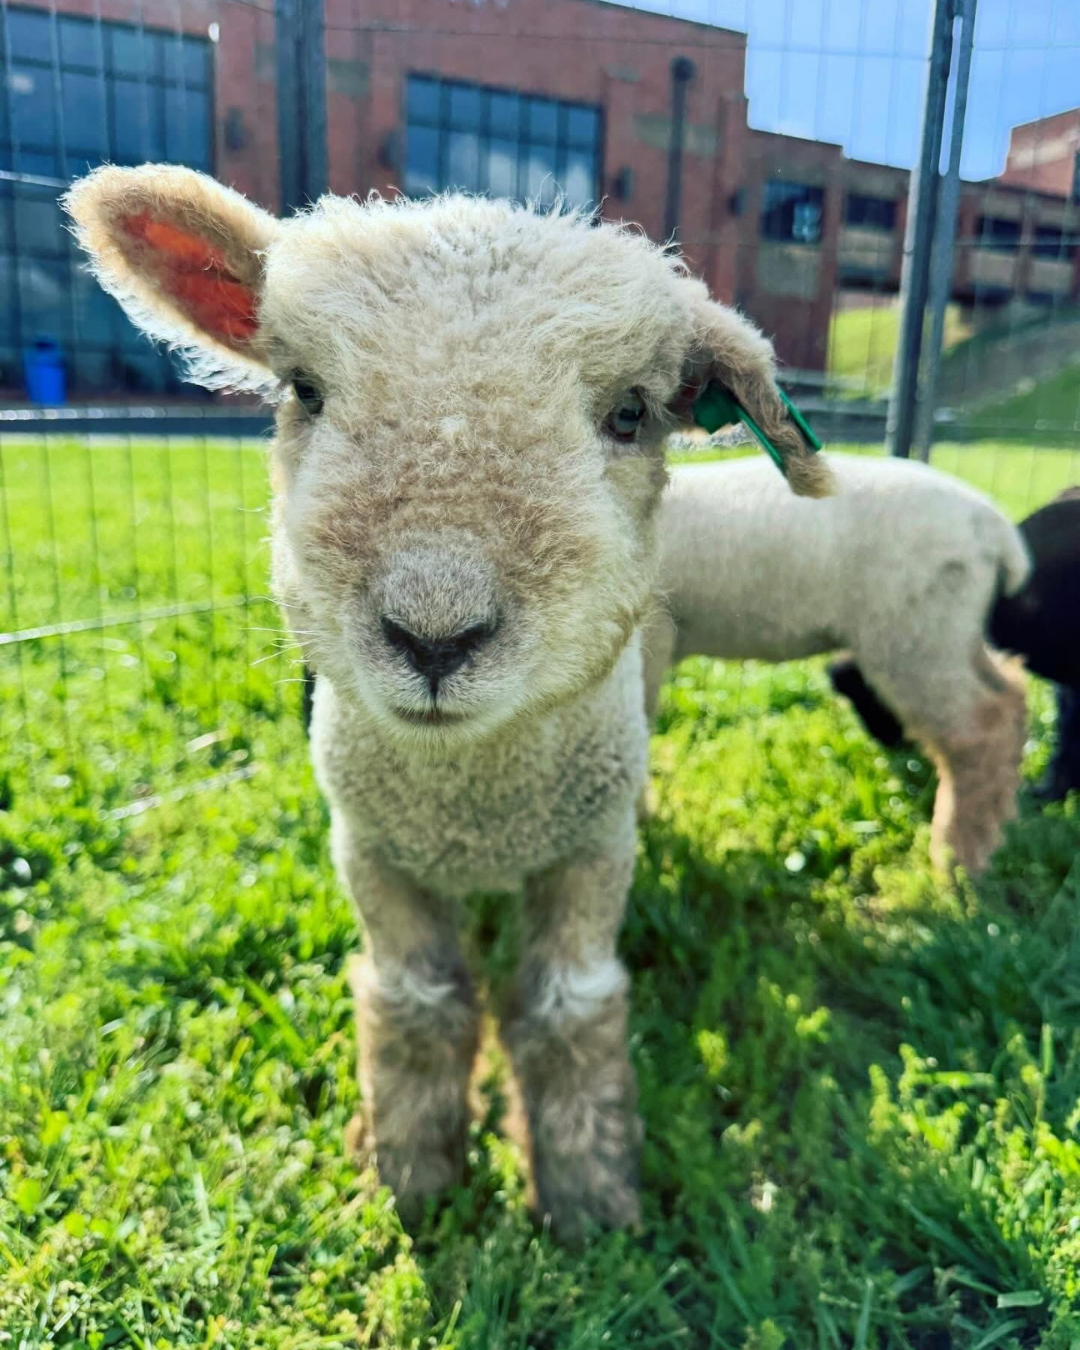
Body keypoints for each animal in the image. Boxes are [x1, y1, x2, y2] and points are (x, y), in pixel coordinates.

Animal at [64, 164, 830, 1239]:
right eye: (304, 391)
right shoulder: (372, 852)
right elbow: (417, 1005)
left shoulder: (589, 851)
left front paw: (589, 1195)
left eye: (630, 414)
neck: (472, 803)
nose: (434, 636)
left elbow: (567, 1008)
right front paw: (412, 1174)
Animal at [643, 453, 1030, 877]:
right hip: (949, 629)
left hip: (913, 633)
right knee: (1010, 694)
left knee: (977, 731)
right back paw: (997, 827)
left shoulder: (651, 637)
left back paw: (956, 858)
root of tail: (993, 527)